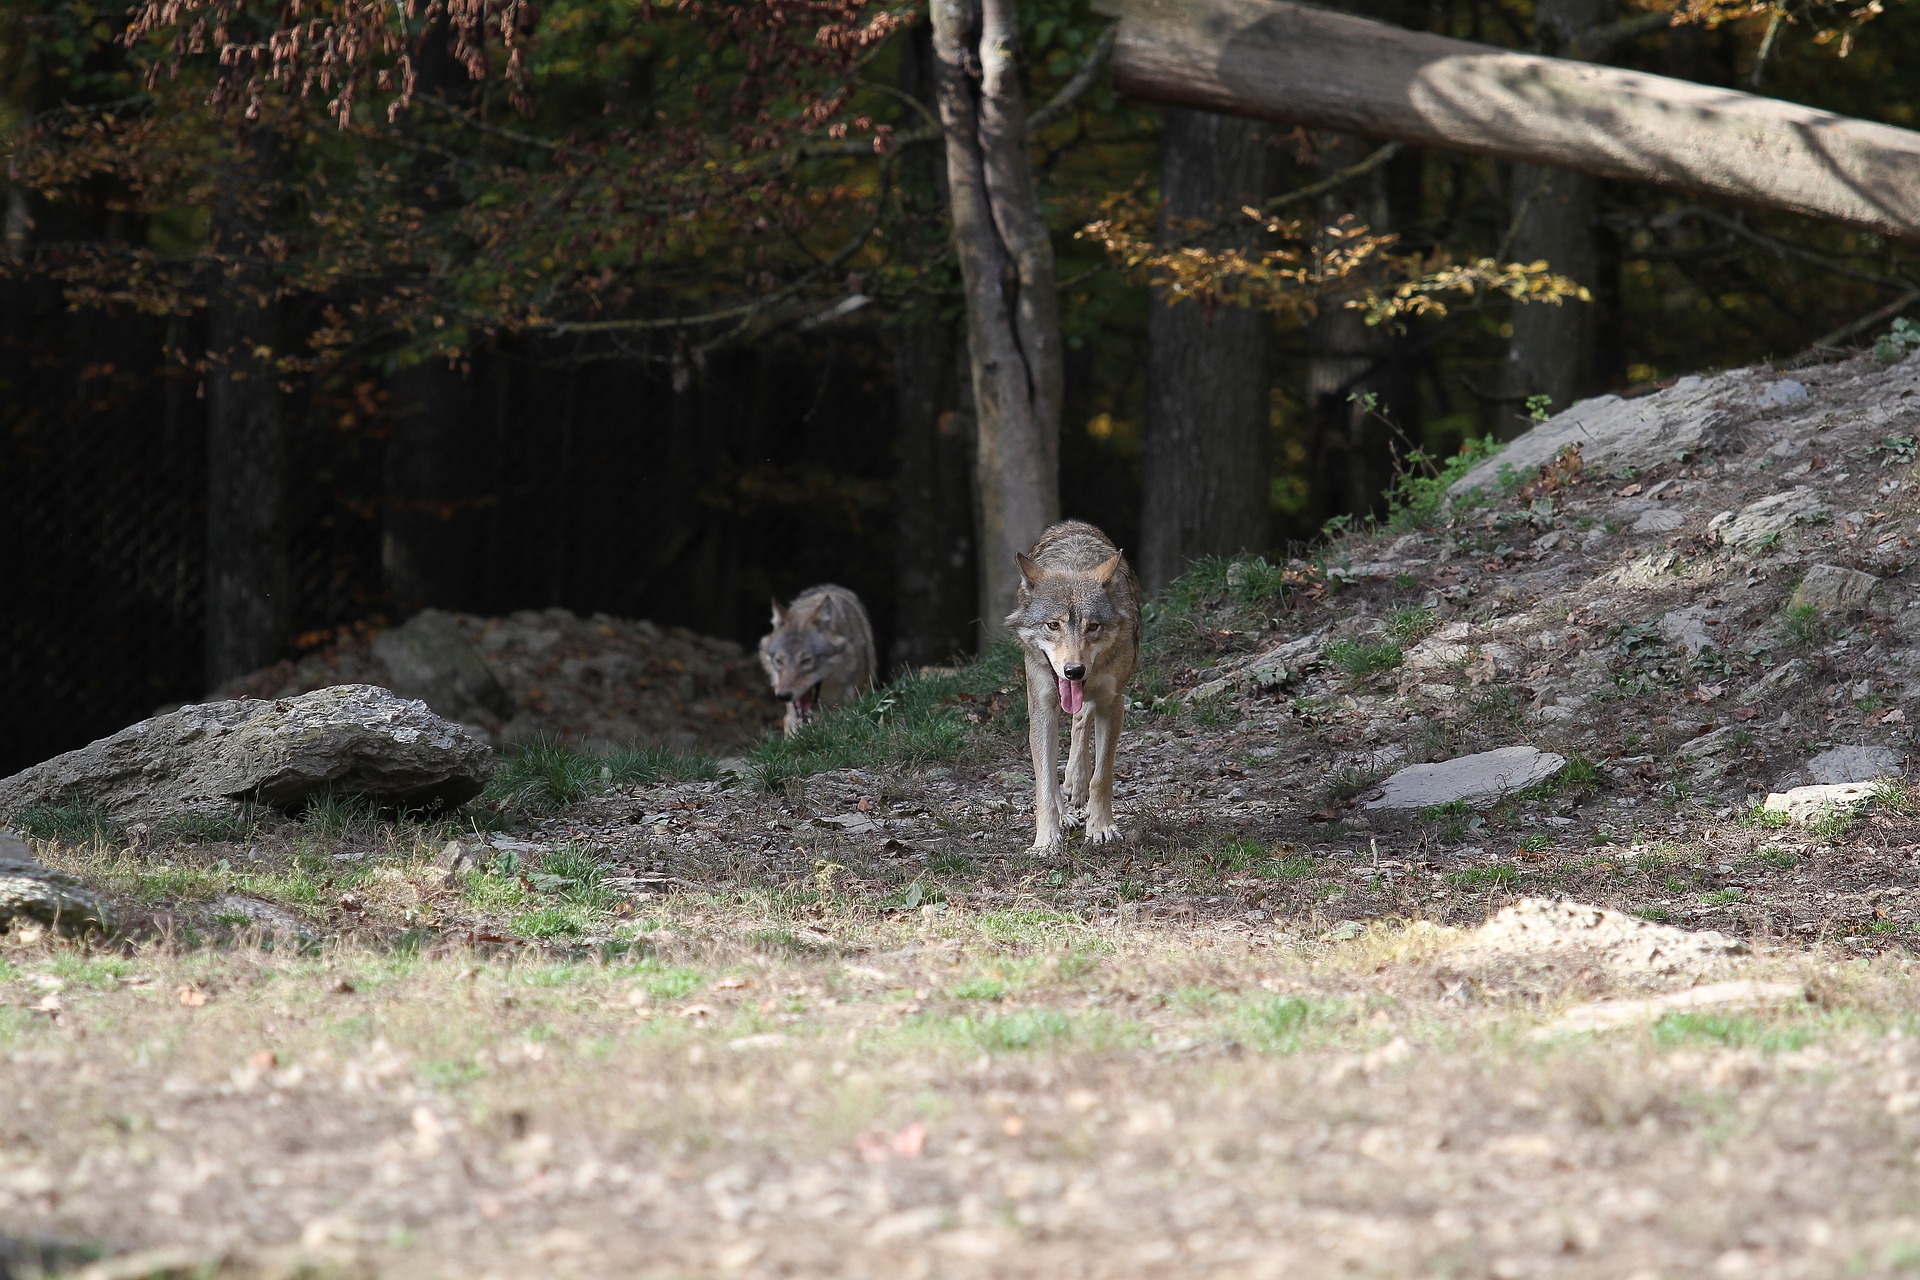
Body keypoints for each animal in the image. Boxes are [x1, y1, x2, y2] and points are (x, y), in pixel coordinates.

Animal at [1006, 514, 1136, 855]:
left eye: (1093, 627)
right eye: (1053, 625)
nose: (1074, 671)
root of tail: (1071, 523)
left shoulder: (1112, 704)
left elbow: (1102, 777)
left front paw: (1101, 828)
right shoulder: (1042, 709)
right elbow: (1044, 782)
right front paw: (1045, 841)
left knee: (1081, 718)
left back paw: (1077, 785)